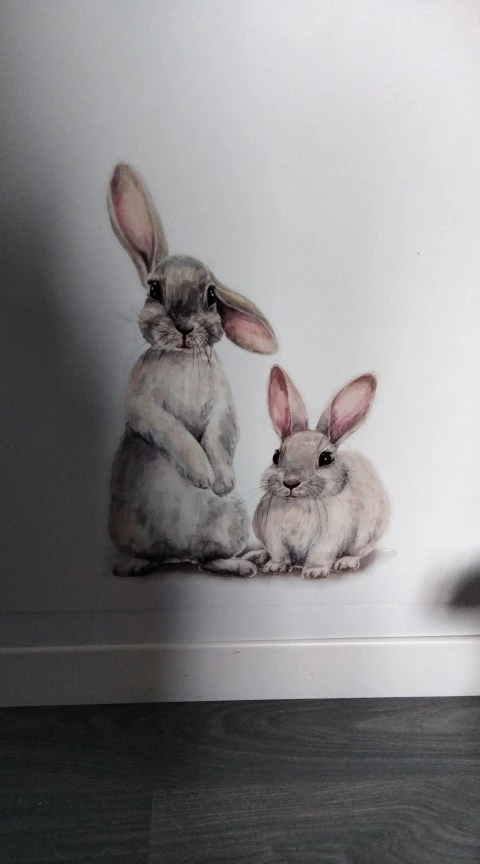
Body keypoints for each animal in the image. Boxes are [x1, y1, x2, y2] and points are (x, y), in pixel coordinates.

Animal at [107, 163, 278, 578]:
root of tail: (177, 556)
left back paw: (239, 566)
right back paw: (131, 566)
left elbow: (218, 437)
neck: (182, 359)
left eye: (211, 295)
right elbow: (175, 434)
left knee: (208, 559)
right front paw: (201, 476)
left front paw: (221, 482)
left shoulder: (222, 407)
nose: (184, 327)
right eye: (154, 289)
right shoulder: (144, 406)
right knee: (151, 555)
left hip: (231, 524)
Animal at [246, 366, 389, 579]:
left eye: (326, 458)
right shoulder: (273, 535)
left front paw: (314, 572)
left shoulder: (329, 539)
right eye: (276, 456)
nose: (290, 483)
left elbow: (320, 555)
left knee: (358, 552)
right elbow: (279, 554)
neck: (299, 504)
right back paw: (257, 557)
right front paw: (275, 567)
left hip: (369, 534)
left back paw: (345, 562)